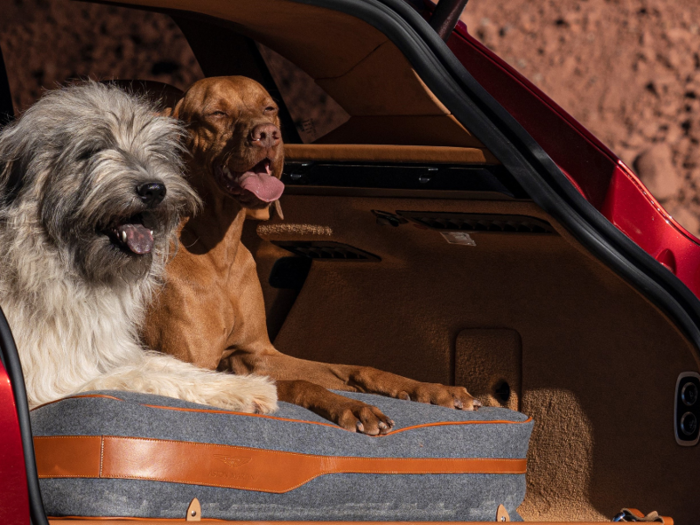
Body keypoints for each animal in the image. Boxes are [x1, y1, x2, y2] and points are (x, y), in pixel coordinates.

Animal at [0, 82, 278, 412]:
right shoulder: (49, 379)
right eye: (91, 150)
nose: (155, 189)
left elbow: (166, 363)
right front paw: (250, 390)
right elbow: (141, 376)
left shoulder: (109, 348)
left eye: (153, 149)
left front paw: (242, 385)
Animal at [144, 74, 482, 434]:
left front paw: (434, 389)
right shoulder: (194, 367)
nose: (268, 134)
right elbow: (294, 384)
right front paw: (352, 406)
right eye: (217, 113)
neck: (220, 253)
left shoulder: (259, 354)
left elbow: (355, 368)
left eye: (269, 108)